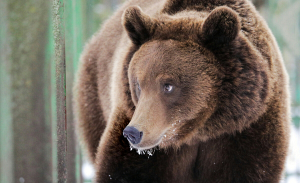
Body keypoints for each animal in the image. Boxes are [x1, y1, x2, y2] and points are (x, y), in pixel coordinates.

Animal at [74, 0, 290, 182]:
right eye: (138, 84)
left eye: (168, 85)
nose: (133, 133)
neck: (200, 131)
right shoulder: (137, 135)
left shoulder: (247, 129)